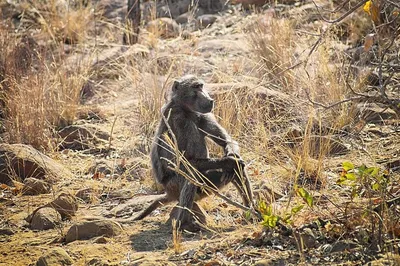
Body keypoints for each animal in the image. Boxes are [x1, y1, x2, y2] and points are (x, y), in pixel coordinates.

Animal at [134, 74, 253, 231]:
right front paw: (228, 161)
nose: (210, 100)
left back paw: (251, 211)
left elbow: (227, 141)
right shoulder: (179, 120)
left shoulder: (203, 115)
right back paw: (184, 223)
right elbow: (186, 162)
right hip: (174, 186)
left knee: (237, 170)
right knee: (191, 174)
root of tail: (167, 192)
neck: (184, 108)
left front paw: (231, 158)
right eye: (196, 87)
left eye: (201, 86)